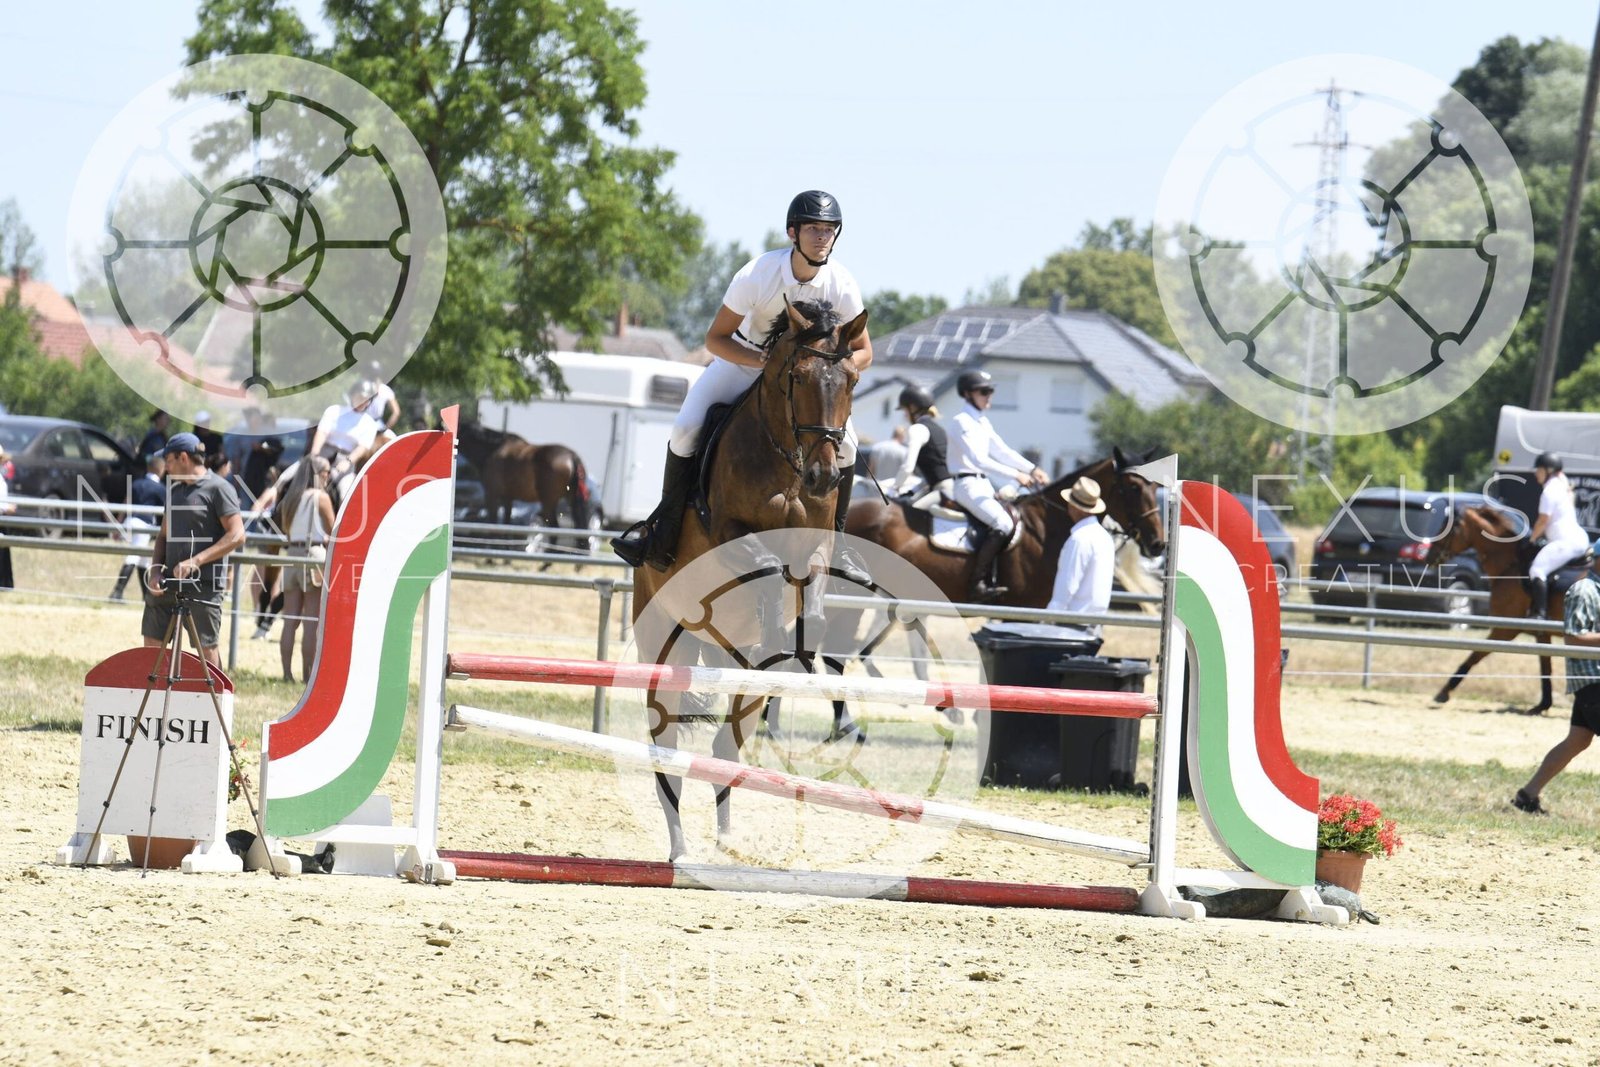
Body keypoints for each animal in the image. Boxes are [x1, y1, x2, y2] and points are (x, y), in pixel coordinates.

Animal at [454, 421, 592, 550]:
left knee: (554, 530)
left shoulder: (492, 495)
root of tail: (572, 457)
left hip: (548, 502)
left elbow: (493, 524)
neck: (492, 450)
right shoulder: (507, 499)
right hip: (571, 500)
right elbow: (506, 525)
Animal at [631, 298, 867, 861]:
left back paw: (725, 842)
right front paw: (778, 623)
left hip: (735, 672)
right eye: (798, 377)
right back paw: (680, 849)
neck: (788, 463)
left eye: (850, 379)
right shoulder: (730, 534)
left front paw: (794, 642)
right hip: (661, 645)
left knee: (725, 744)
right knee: (666, 748)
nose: (824, 476)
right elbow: (766, 569)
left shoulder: (817, 545)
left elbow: (813, 608)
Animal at [1426, 504, 1587, 715]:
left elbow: (1475, 655)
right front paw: (1542, 705)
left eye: (1449, 527)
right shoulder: (1541, 634)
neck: (1510, 566)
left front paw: (1444, 692)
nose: (1429, 557)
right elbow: (1545, 667)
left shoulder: (1505, 629)